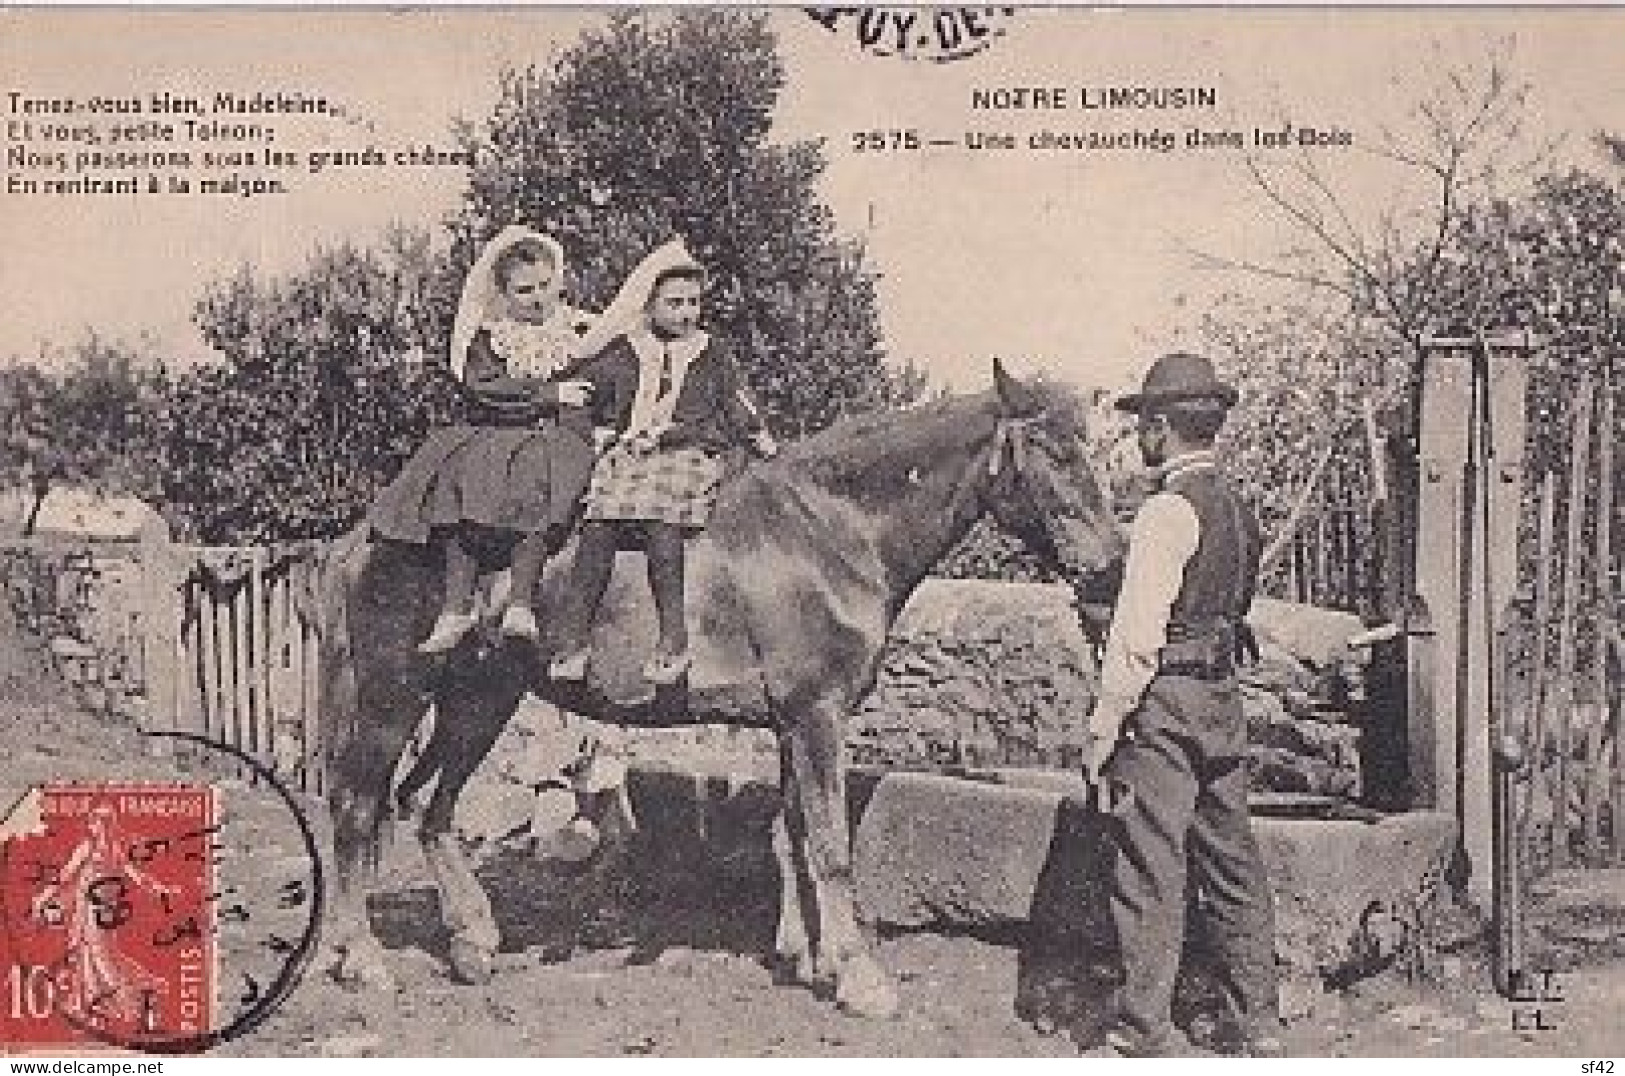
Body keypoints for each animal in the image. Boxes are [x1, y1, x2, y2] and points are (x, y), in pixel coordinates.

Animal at [316, 360, 1131, 1020]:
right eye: (1055, 452)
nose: (1113, 567)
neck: (827, 536)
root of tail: (363, 538)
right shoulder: (817, 717)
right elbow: (830, 844)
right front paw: (859, 978)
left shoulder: (790, 722)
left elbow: (795, 834)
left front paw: (810, 957)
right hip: (396, 697)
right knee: (356, 808)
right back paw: (362, 959)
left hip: (479, 698)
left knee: (425, 805)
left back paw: (471, 942)